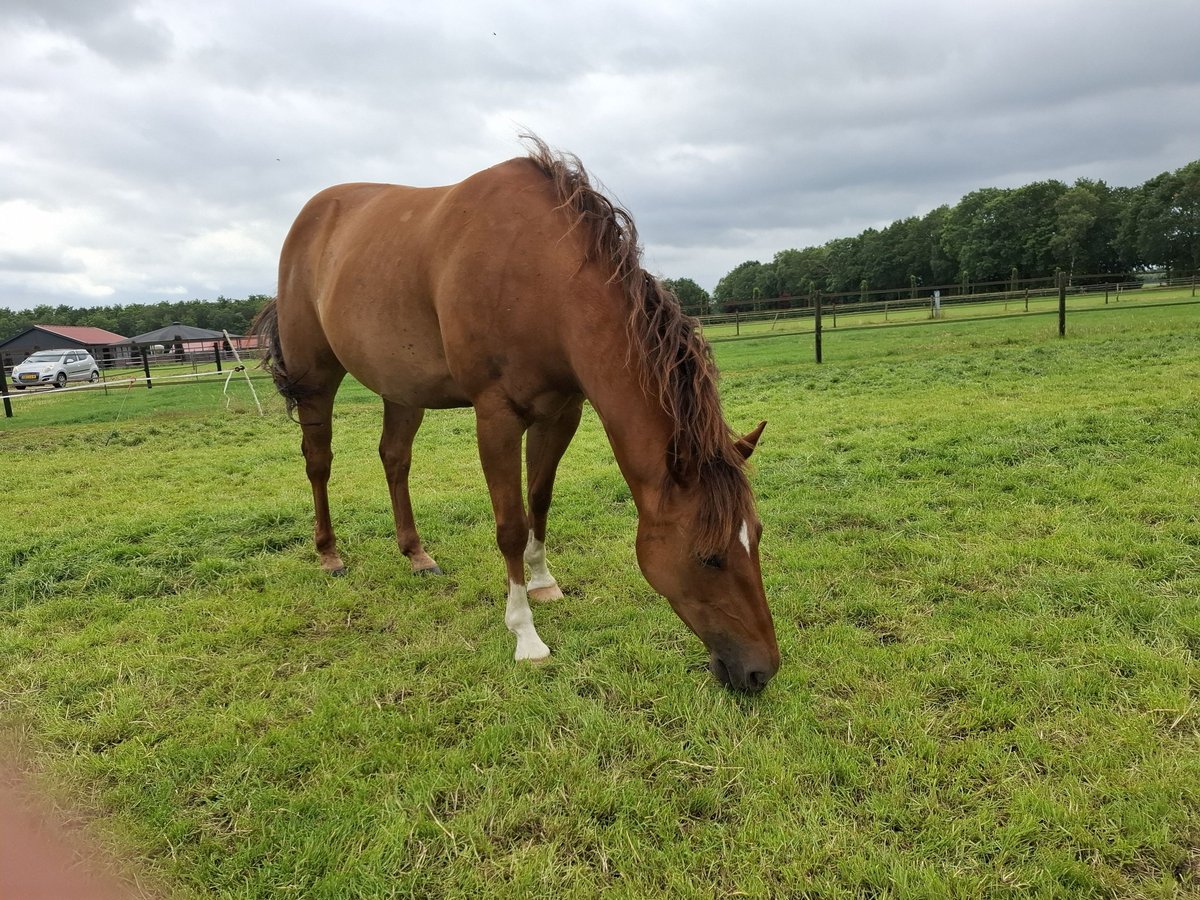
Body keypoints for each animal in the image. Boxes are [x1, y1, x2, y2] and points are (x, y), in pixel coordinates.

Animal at [251, 136, 780, 693]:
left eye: (757, 536)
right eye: (709, 557)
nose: (760, 671)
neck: (541, 277)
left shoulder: (561, 413)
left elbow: (538, 502)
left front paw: (544, 581)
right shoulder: (497, 418)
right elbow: (509, 524)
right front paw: (526, 635)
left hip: (401, 388)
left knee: (394, 458)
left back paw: (416, 554)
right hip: (316, 378)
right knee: (318, 461)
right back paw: (329, 554)